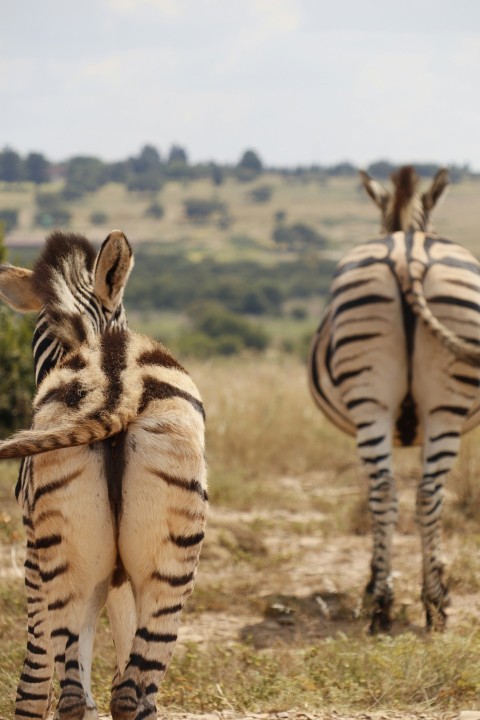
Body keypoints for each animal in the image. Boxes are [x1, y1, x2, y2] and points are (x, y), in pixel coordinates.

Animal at [0, 231, 205, 720]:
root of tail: (118, 382)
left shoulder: (37, 551)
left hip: (68, 557)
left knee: (84, 690)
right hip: (163, 557)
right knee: (127, 693)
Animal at [308, 166, 480, 632]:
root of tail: (408, 252)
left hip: (382, 404)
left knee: (393, 490)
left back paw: (389, 602)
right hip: (431, 405)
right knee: (420, 492)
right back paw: (421, 602)